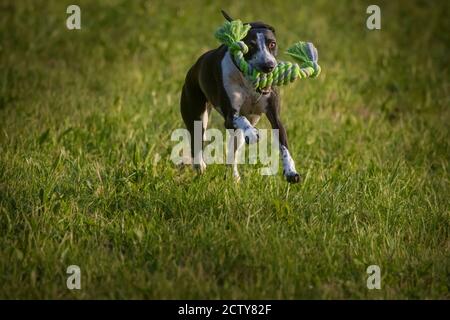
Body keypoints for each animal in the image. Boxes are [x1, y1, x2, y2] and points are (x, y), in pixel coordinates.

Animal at [179, 10, 298, 184]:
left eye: (272, 44)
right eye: (251, 46)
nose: (268, 66)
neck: (249, 84)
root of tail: (194, 69)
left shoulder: (275, 118)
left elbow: (284, 146)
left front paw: (290, 172)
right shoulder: (230, 117)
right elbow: (240, 119)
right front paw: (253, 133)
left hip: (236, 137)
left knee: (232, 155)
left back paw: (233, 178)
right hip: (197, 115)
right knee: (197, 142)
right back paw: (200, 166)